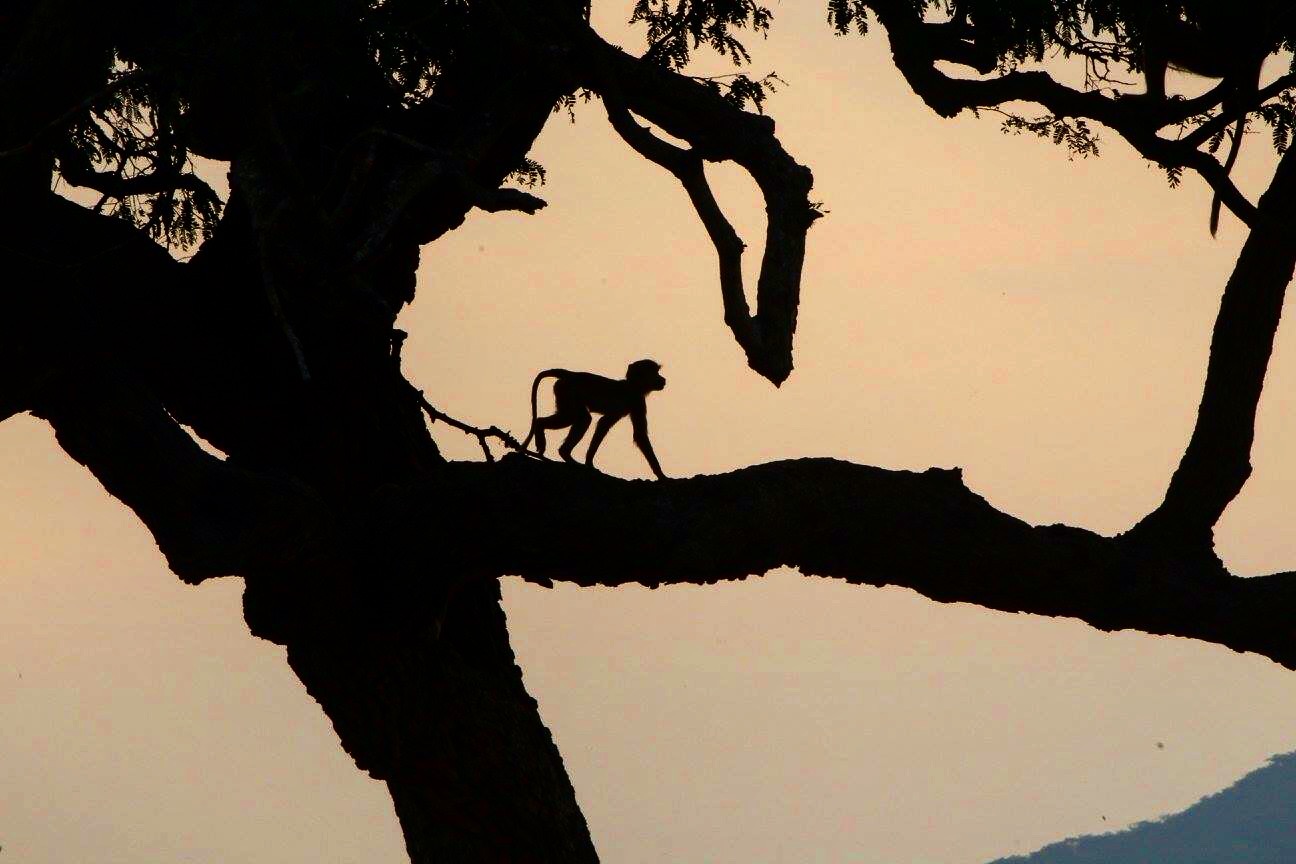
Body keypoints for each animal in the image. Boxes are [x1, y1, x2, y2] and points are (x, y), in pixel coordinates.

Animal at [521, 359, 668, 480]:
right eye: (655, 372)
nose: (663, 379)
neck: (632, 386)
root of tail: (570, 374)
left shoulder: (636, 403)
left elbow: (611, 426)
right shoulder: (636, 400)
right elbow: (630, 432)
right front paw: (662, 475)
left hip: (563, 391)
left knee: (574, 417)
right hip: (568, 391)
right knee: (582, 418)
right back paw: (565, 453)